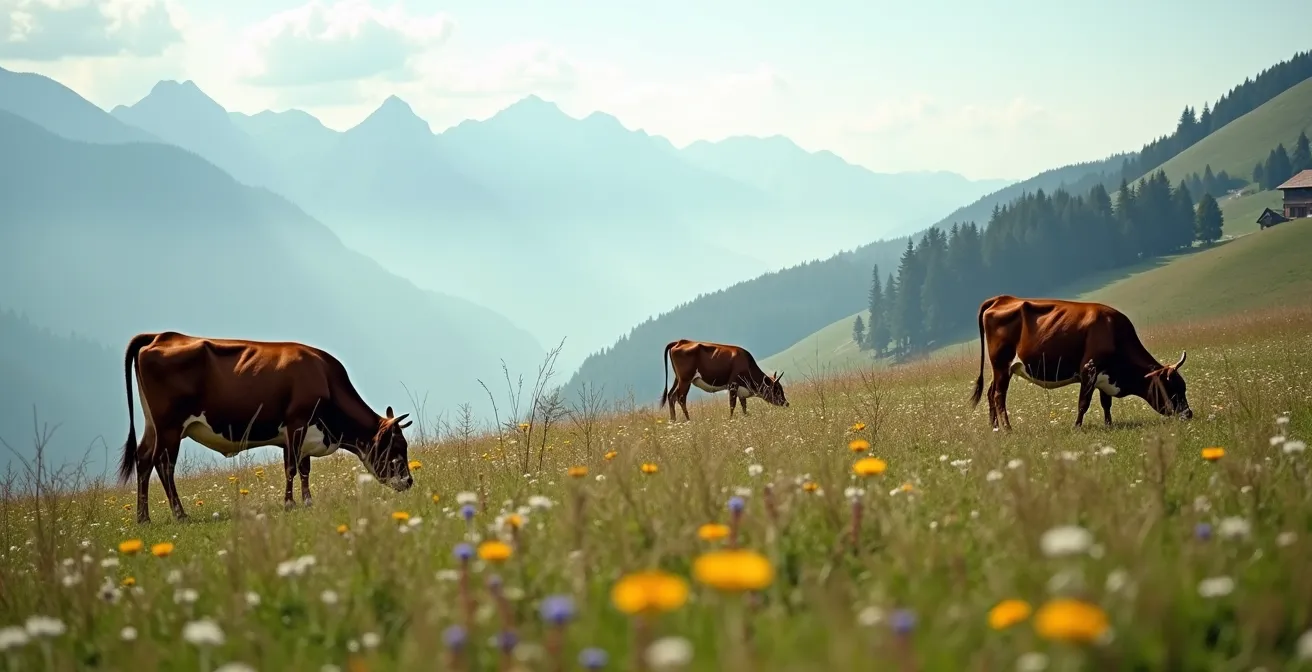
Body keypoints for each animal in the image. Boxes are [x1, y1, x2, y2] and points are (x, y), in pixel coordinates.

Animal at [117, 332, 415, 524]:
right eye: (397, 446)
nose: (409, 481)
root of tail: (160, 335)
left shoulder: (298, 435)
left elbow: (303, 468)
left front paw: (307, 501)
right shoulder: (297, 423)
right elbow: (292, 468)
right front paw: (290, 504)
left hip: (153, 425)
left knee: (144, 459)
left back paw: (143, 518)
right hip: (170, 425)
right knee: (164, 465)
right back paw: (180, 515)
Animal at [659, 339, 789, 422]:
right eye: (776, 390)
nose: (786, 403)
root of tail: (681, 341)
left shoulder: (741, 390)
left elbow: (744, 405)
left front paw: (745, 417)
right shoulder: (733, 384)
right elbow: (732, 404)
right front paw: (731, 419)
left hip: (678, 378)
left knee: (671, 396)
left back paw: (673, 421)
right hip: (685, 379)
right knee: (681, 398)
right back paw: (688, 420)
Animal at [968, 295, 1193, 430]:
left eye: (1184, 387)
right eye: (1173, 388)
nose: (1188, 414)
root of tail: (1003, 298)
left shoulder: (1104, 376)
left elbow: (1106, 403)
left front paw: (1109, 425)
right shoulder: (1089, 370)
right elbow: (1083, 403)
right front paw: (1077, 427)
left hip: (1002, 369)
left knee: (990, 393)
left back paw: (995, 428)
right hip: (1001, 365)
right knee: (999, 395)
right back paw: (1007, 429)